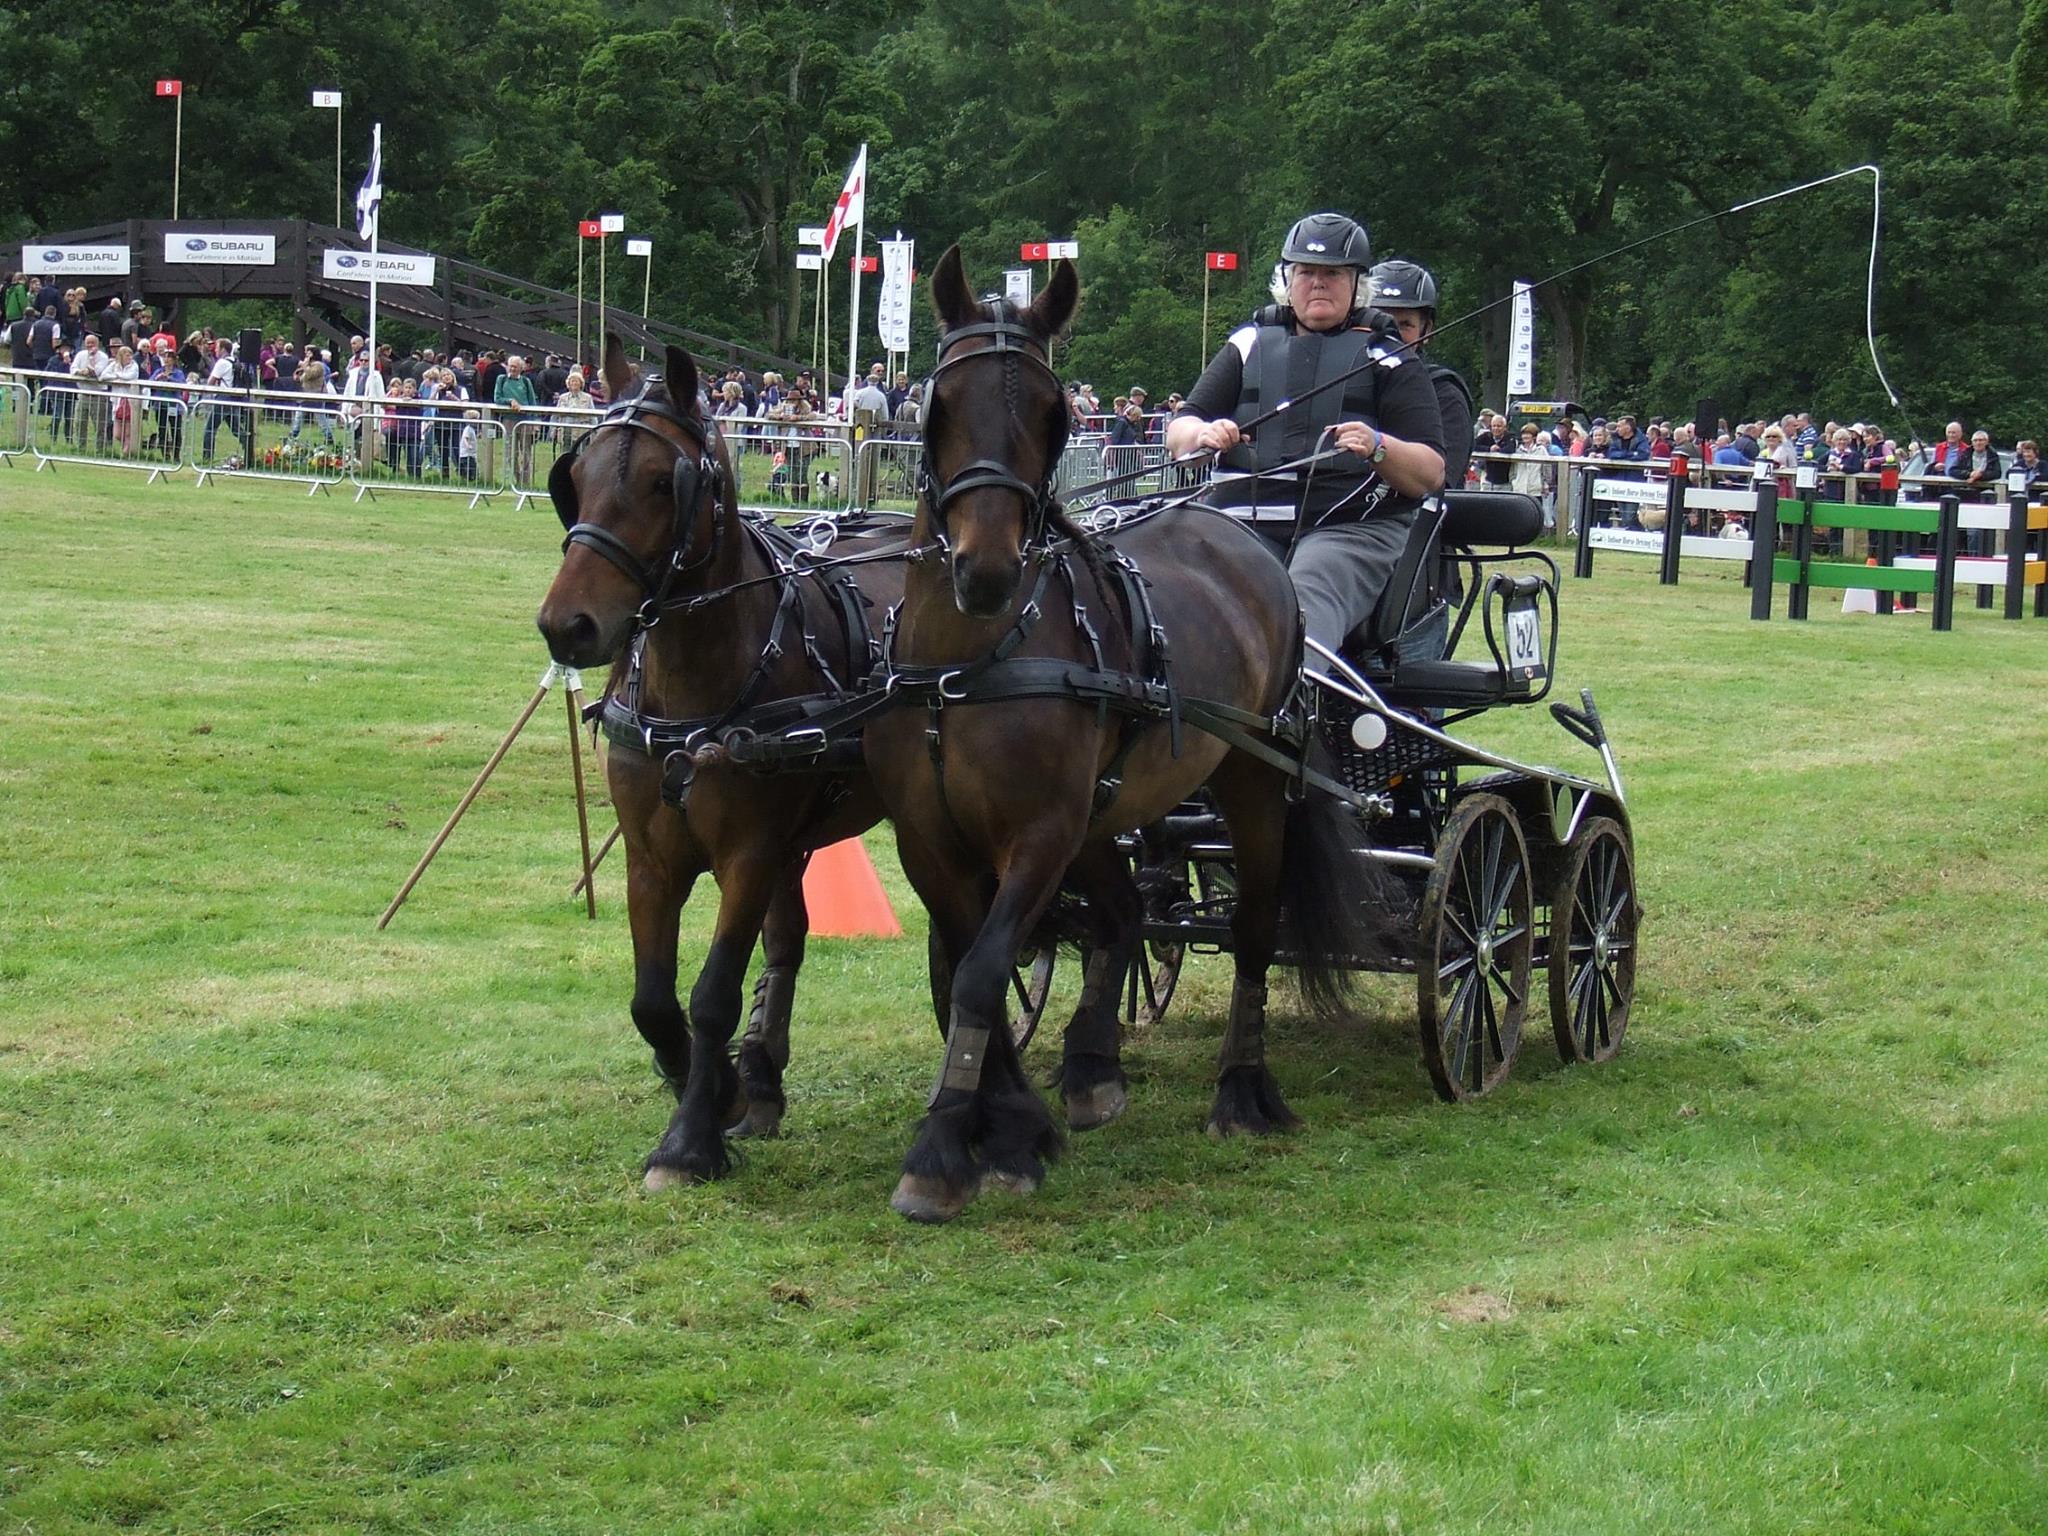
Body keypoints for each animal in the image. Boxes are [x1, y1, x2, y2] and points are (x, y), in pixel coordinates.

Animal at [864, 252, 1392, 1228]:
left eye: (1055, 414)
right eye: (937, 404)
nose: (986, 569)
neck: (968, 661)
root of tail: (1238, 532)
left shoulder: (1038, 834)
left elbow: (982, 969)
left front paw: (947, 1148)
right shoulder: (930, 838)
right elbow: (970, 961)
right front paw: (1009, 1124)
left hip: (1249, 786)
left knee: (1252, 931)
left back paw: (1240, 1092)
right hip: (1108, 815)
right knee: (1120, 915)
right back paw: (1091, 1067)